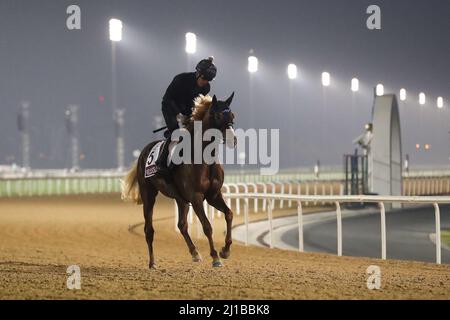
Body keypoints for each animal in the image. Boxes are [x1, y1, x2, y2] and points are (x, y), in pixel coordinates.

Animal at [121, 92, 237, 268]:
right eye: (217, 115)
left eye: (232, 115)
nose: (233, 140)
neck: (204, 158)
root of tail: (144, 151)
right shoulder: (196, 197)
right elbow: (207, 226)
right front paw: (215, 257)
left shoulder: (213, 196)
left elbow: (229, 214)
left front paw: (225, 250)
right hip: (149, 194)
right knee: (149, 229)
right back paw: (152, 262)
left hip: (180, 198)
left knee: (182, 225)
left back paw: (195, 253)